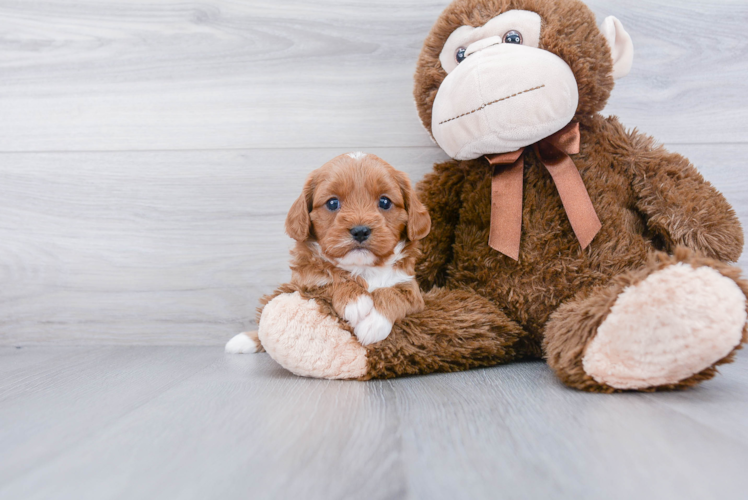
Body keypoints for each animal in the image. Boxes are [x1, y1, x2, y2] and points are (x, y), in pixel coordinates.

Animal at [225, 151, 430, 352]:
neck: (363, 268)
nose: (360, 231)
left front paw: (373, 323)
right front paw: (354, 300)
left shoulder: (413, 290)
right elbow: (330, 281)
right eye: (332, 203)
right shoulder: (304, 283)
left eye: (385, 202)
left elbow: (395, 293)